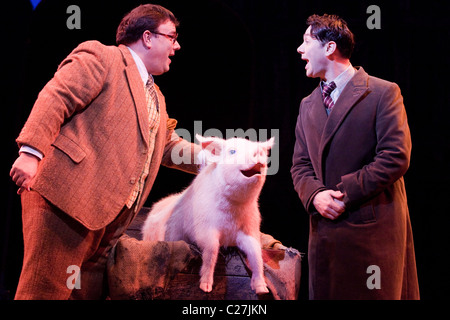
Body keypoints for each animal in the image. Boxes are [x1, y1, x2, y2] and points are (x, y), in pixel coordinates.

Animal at [142, 134, 272, 294]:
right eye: (232, 151)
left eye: (260, 151)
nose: (257, 153)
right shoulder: (203, 227)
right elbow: (211, 250)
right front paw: (206, 288)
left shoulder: (249, 227)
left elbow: (256, 253)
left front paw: (262, 289)